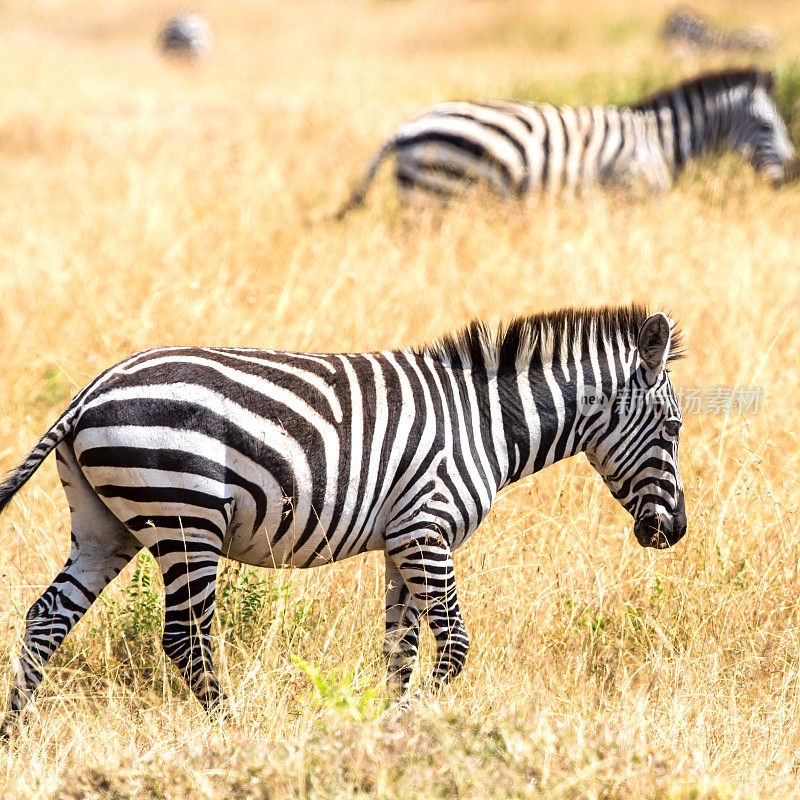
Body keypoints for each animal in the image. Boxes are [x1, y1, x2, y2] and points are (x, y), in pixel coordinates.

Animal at [1, 306, 688, 736]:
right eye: (675, 428)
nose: (675, 533)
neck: (487, 423)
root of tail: (91, 391)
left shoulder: (402, 542)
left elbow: (400, 650)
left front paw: (391, 730)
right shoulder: (427, 529)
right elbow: (454, 646)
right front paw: (420, 726)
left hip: (106, 526)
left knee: (46, 617)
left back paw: (14, 733)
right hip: (186, 518)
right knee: (184, 638)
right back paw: (234, 731)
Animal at [336, 68, 792, 216]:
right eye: (765, 125)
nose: (788, 178)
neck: (658, 140)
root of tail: (405, 128)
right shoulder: (632, 196)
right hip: (435, 193)